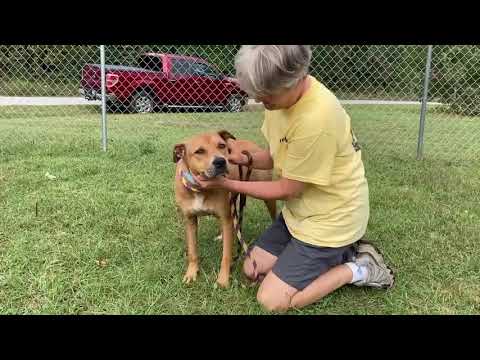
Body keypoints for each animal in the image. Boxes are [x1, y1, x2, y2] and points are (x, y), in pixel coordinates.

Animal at [174, 129, 276, 286]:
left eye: (221, 145)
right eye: (199, 151)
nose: (221, 161)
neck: (200, 190)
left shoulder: (226, 218)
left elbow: (226, 255)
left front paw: (223, 279)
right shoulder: (190, 220)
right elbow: (192, 252)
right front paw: (191, 273)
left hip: (266, 196)